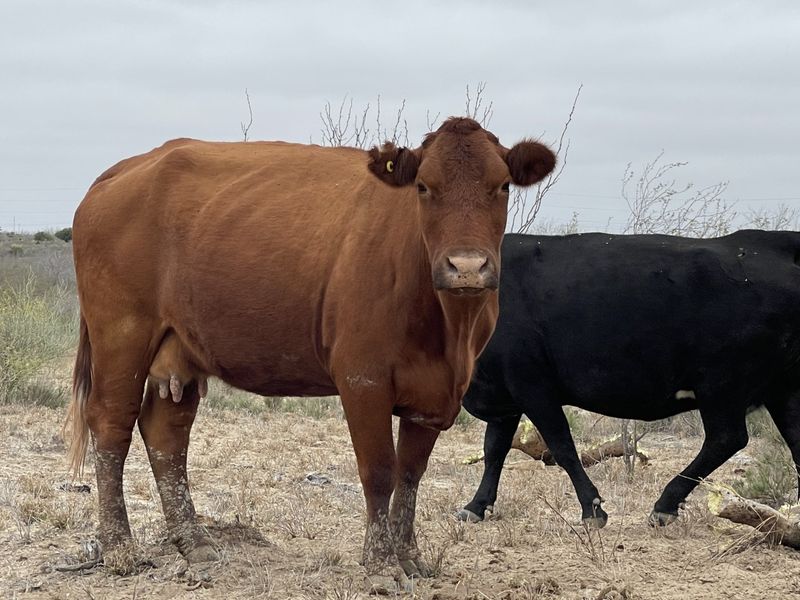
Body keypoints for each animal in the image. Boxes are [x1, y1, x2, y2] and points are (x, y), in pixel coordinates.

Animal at [64, 118, 556, 590]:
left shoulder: (432, 394)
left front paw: (409, 557)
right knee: (112, 426)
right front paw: (380, 566)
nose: (466, 267)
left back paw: (196, 544)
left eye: (502, 185)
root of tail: (126, 169)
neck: (448, 331)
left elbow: (411, 474)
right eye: (423, 186)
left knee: (166, 435)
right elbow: (380, 470)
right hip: (121, 337)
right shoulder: (363, 379)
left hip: (180, 349)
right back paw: (120, 548)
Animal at [457, 230, 800, 529]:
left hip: (722, 384)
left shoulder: (532, 386)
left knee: (726, 438)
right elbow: (494, 450)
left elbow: (562, 446)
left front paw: (592, 509)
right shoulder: (504, 394)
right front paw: (475, 506)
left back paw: (664, 505)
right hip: (781, 390)